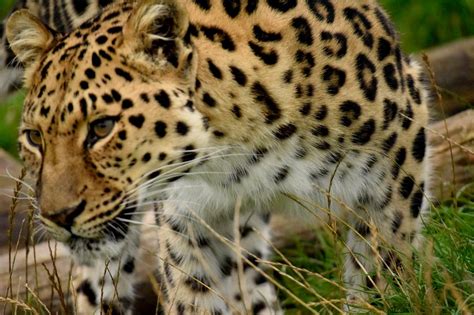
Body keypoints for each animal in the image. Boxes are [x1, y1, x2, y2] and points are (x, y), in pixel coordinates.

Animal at [4, 0, 434, 314]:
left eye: (102, 127)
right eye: (34, 138)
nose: (58, 216)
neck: (238, 153)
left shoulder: (396, 167)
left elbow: (385, 268)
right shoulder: (189, 221)